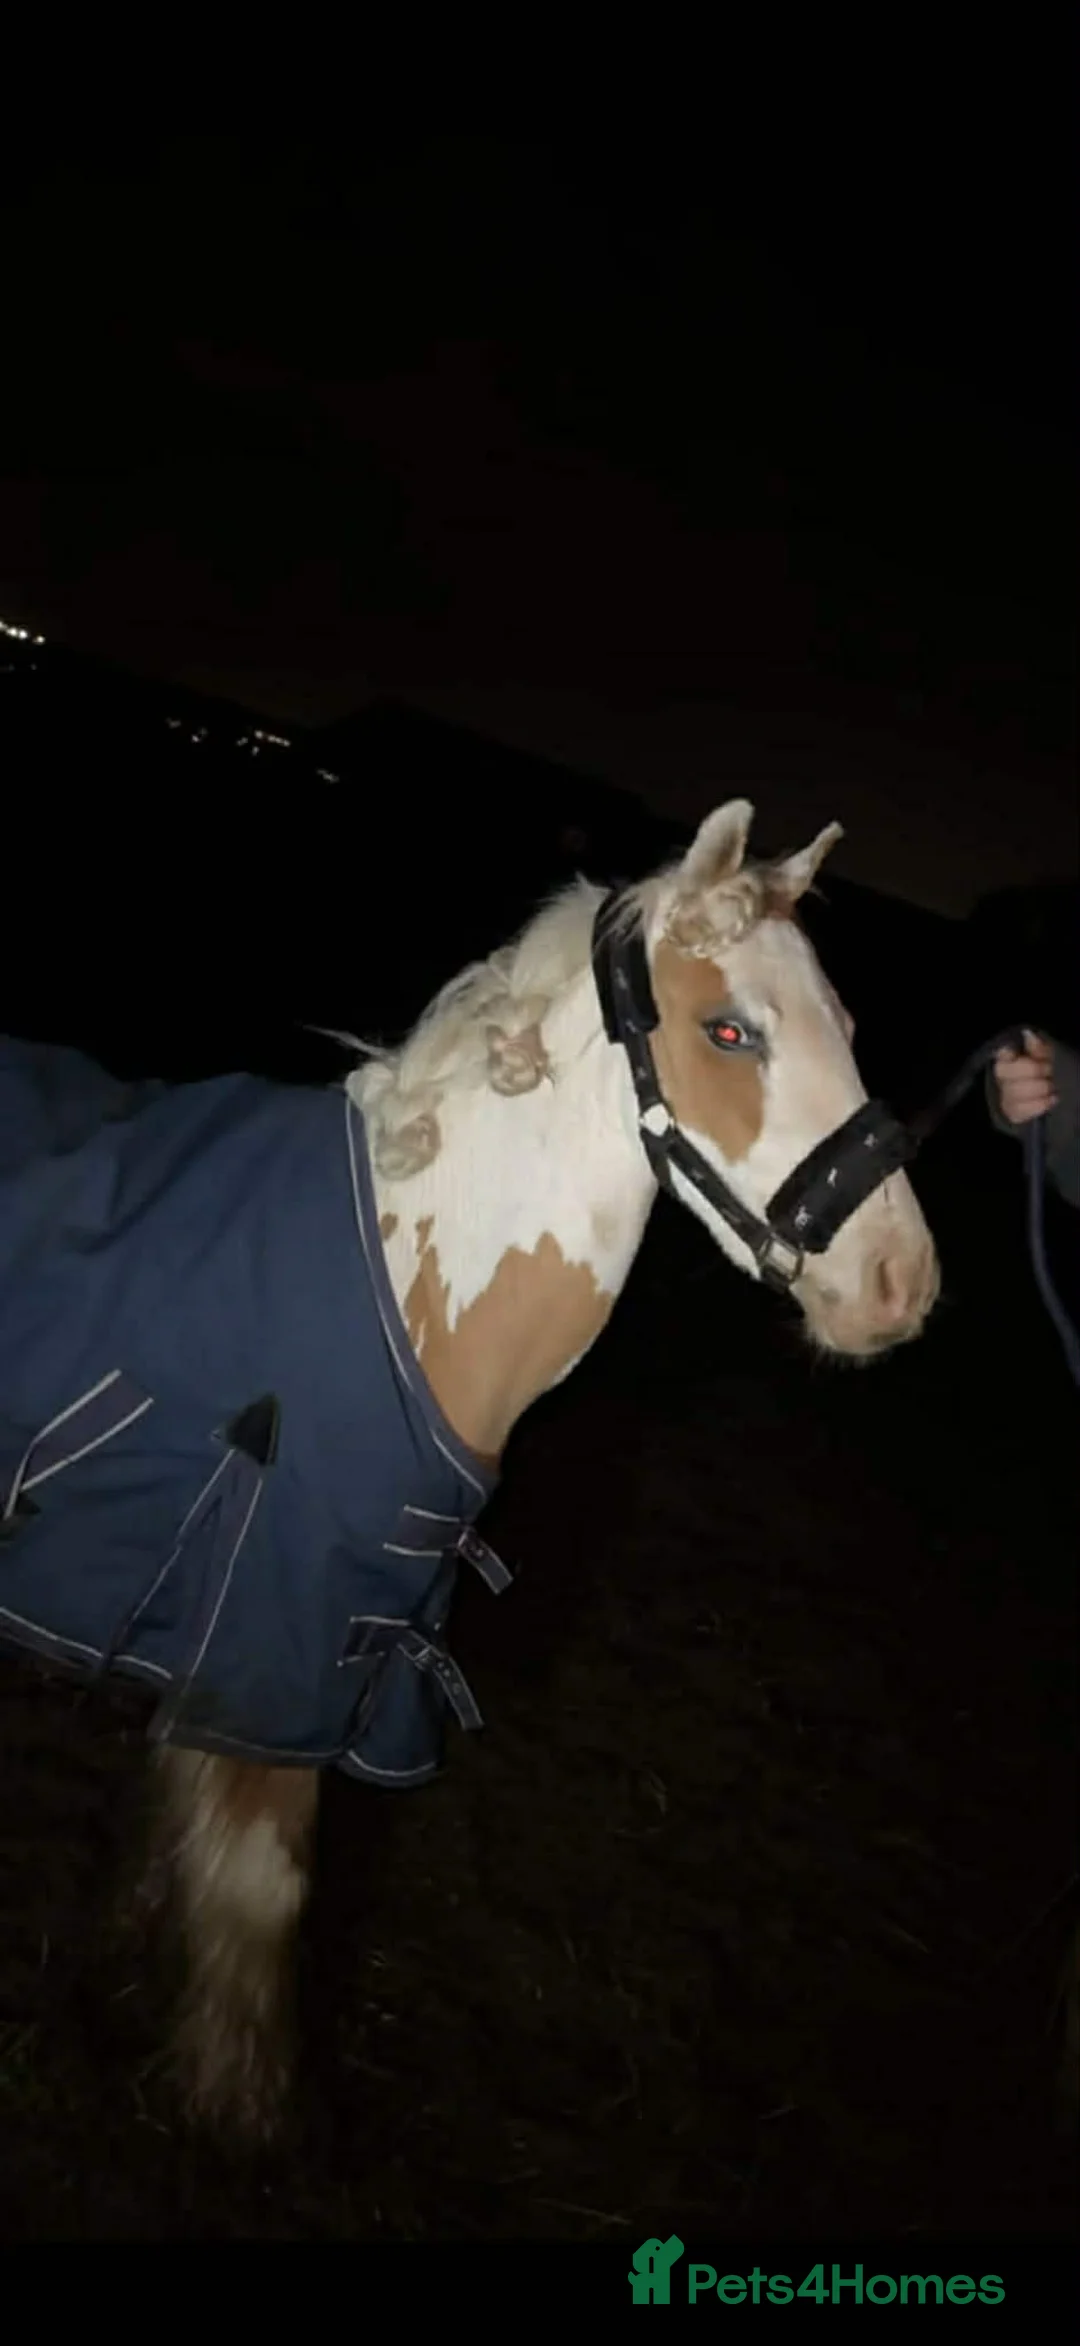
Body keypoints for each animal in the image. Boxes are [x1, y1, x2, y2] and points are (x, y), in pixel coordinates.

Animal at [0, 799, 940, 2140]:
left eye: (849, 1031)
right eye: (730, 1031)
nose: (900, 1287)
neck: (412, 1279)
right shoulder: (284, 1663)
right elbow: (259, 1905)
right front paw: (236, 2126)